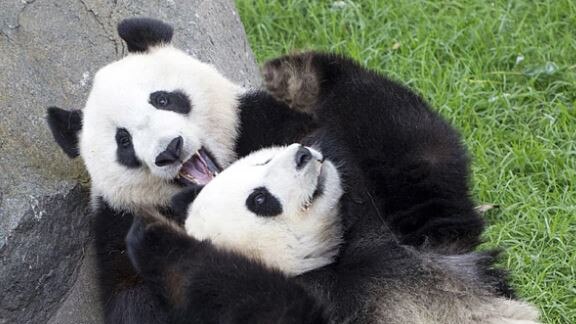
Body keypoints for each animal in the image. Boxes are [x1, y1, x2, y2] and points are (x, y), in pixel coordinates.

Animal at [126, 52, 540, 322]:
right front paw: (152, 232)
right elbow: (255, 298)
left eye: (263, 159)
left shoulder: (426, 244)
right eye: (259, 199)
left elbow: (422, 158)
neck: (335, 261)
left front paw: (294, 77)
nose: (303, 155)